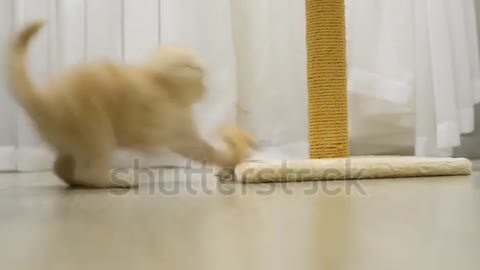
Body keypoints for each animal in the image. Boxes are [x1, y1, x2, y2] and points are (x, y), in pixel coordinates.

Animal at [8, 20, 255, 188]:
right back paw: (115, 181)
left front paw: (233, 154)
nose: (206, 88)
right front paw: (232, 151)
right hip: (94, 127)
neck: (163, 85)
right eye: (201, 76)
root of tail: (46, 100)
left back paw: (75, 181)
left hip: (71, 141)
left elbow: (206, 149)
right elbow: (170, 142)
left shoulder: (181, 132)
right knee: (88, 170)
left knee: (61, 167)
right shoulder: (166, 127)